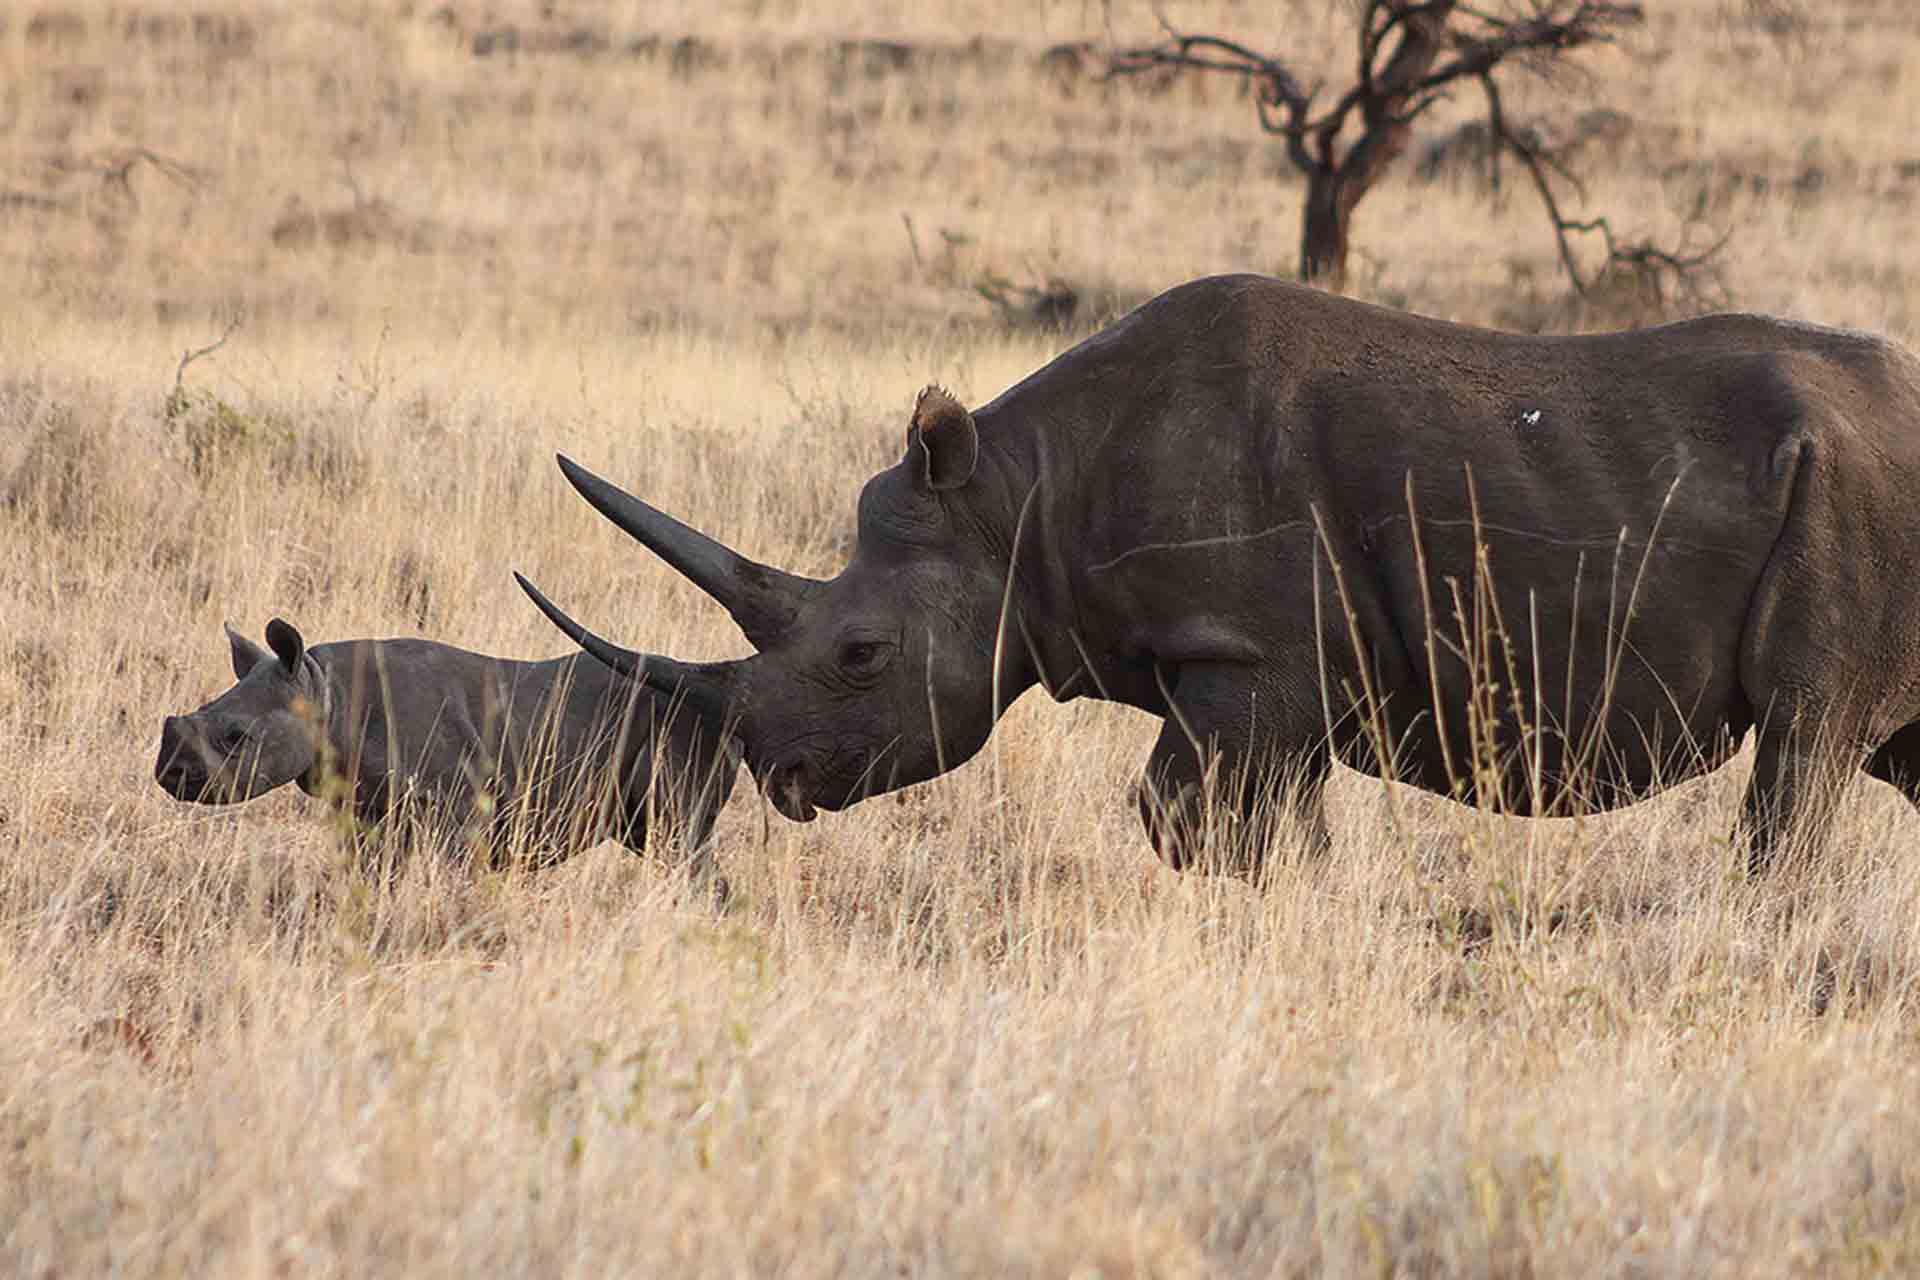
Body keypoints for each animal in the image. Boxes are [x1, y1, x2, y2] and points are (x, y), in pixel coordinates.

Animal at [155, 618, 738, 879]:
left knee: (679, 839)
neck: (324, 692)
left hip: (676, 733)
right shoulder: (366, 808)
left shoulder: (454, 807)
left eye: (236, 738)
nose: (170, 775)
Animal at [517, 273, 1920, 876]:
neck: (1016, 501)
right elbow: (1269, 826)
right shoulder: (1276, 680)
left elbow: (1181, 814)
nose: (781, 777)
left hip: (1856, 500)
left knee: (1804, 746)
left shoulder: (1244, 653)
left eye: (859, 654)